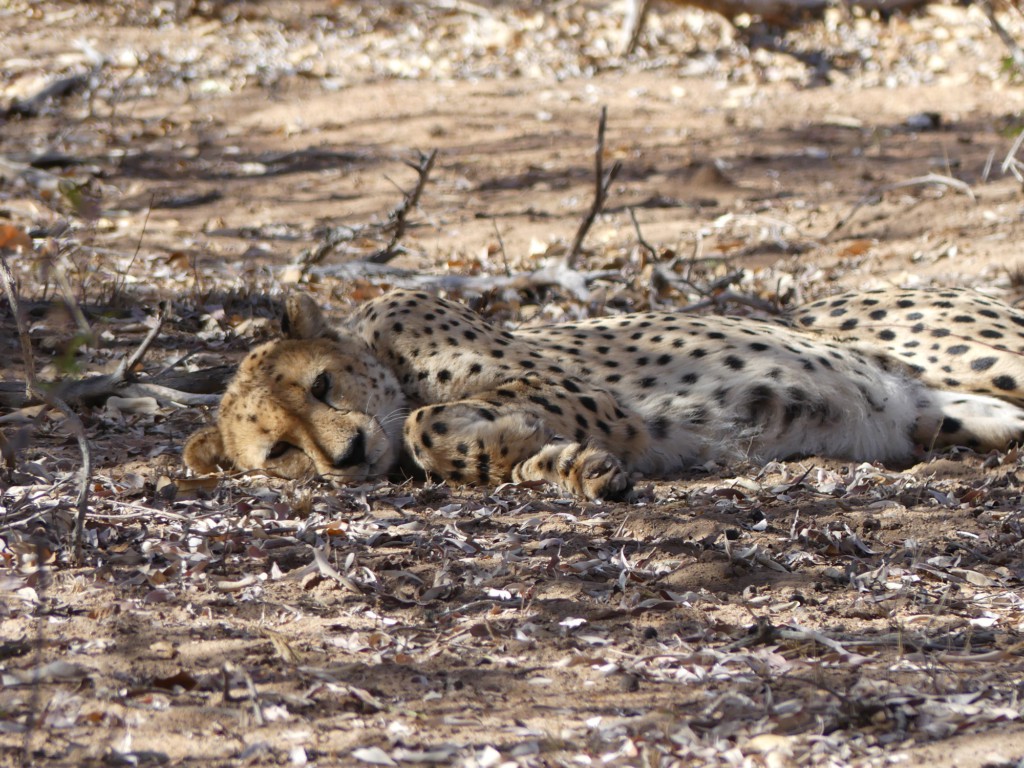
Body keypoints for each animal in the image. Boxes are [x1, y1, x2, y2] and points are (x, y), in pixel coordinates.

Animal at [184, 288, 1024, 499]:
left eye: (323, 385)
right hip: (953, 413)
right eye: (282, 451)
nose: (350, 454)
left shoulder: (584, 394)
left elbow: (423, 421)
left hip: (985, 352)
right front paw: (561, 467)